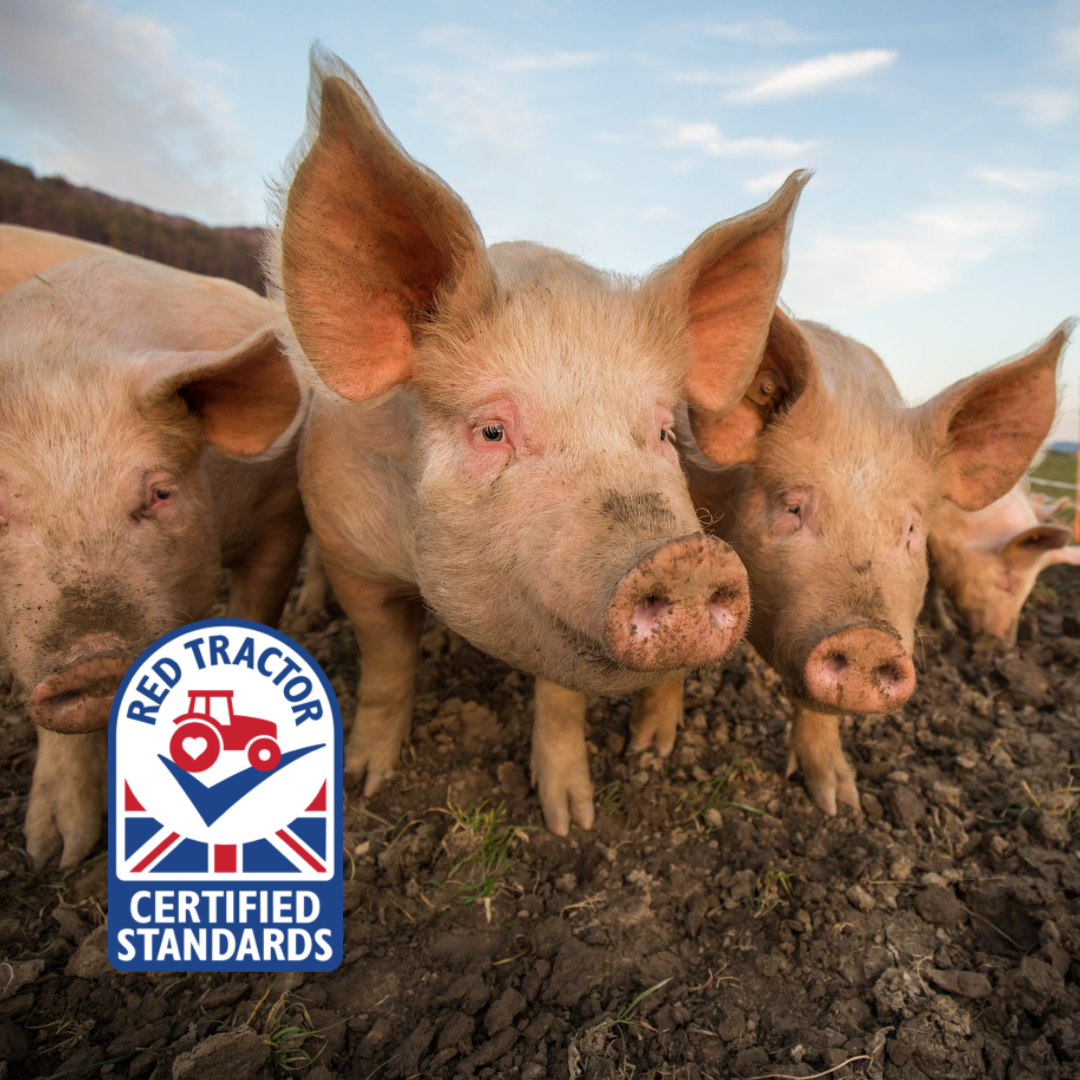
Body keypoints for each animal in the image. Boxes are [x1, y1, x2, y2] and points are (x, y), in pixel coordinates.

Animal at [265, 46, 809, 833]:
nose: (687, 558)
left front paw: (571, 819)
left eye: (662, 430)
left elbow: (561, 701)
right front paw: (365, 781)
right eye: (492, 430)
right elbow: (386, 668)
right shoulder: (351, 552)